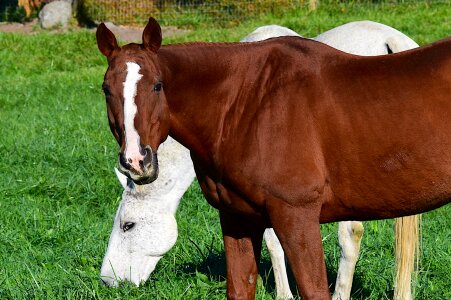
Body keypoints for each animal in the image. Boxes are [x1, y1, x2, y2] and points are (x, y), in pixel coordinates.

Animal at [97, 17, 450, 298]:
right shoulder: (237, 218)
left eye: (128, 225)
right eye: (106, 89)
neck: (244, 102)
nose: (136, 160)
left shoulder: (296, 216)